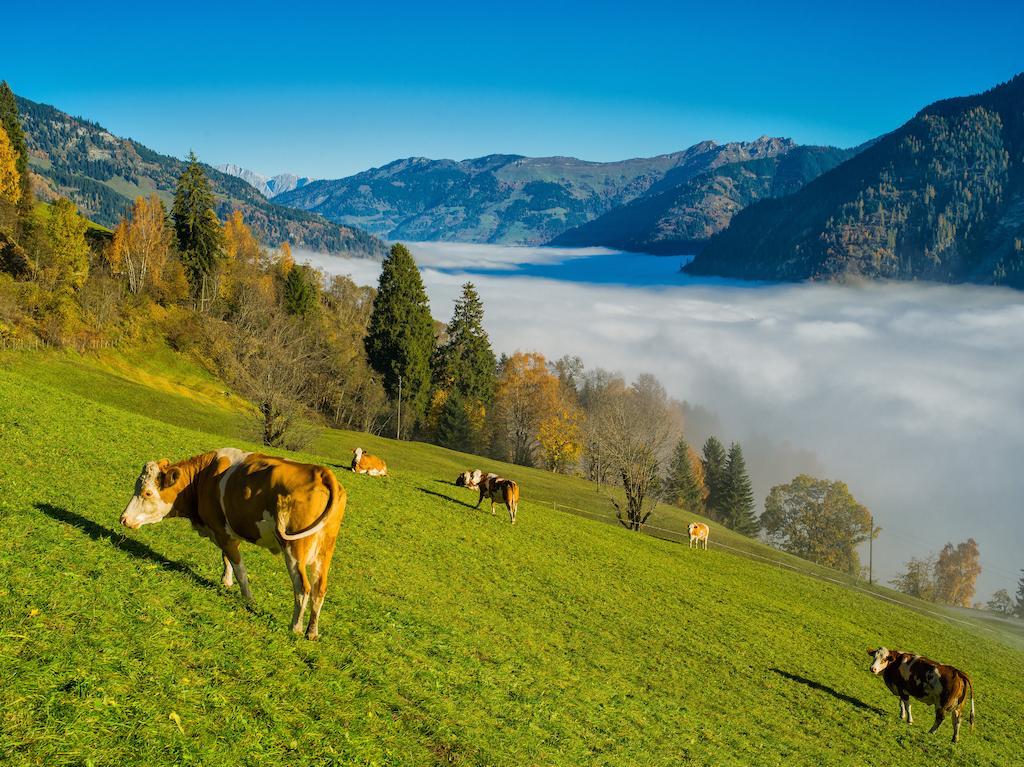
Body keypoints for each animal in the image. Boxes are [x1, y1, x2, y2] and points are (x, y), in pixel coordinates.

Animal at [120, 448, 348, 638]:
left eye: (148, 492)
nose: (123, 519)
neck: (203, 478)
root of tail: (321, 471)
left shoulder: (223, 533)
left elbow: (240, 570)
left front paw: (248, 599)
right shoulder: (224, 531)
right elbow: (226, 557)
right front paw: (226, 580)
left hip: (295, 549)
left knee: (303, 587)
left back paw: (296, 628)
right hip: (325, 550)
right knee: (319, 589)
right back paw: (312, 632)